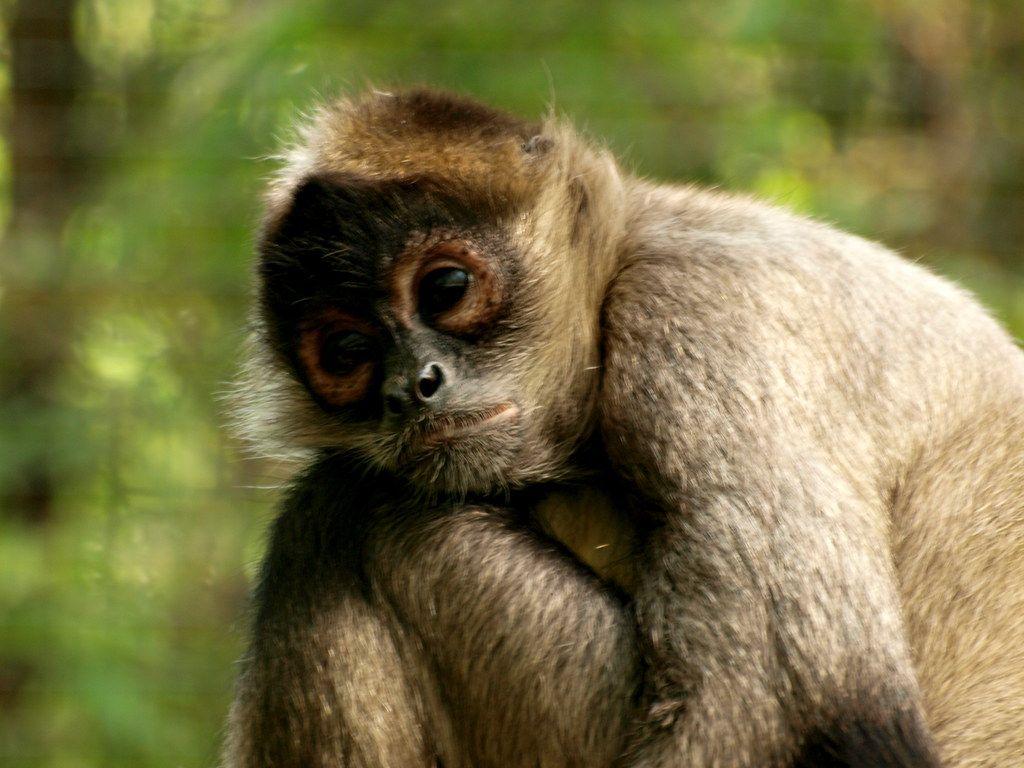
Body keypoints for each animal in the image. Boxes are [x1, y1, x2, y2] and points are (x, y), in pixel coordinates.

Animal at [225, 88, 1024, 768]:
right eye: (346, 352)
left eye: (447, 288)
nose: (410, 389)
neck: (630, 246)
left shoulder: (696, 308)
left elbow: (810, 725)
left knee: (338, 510)